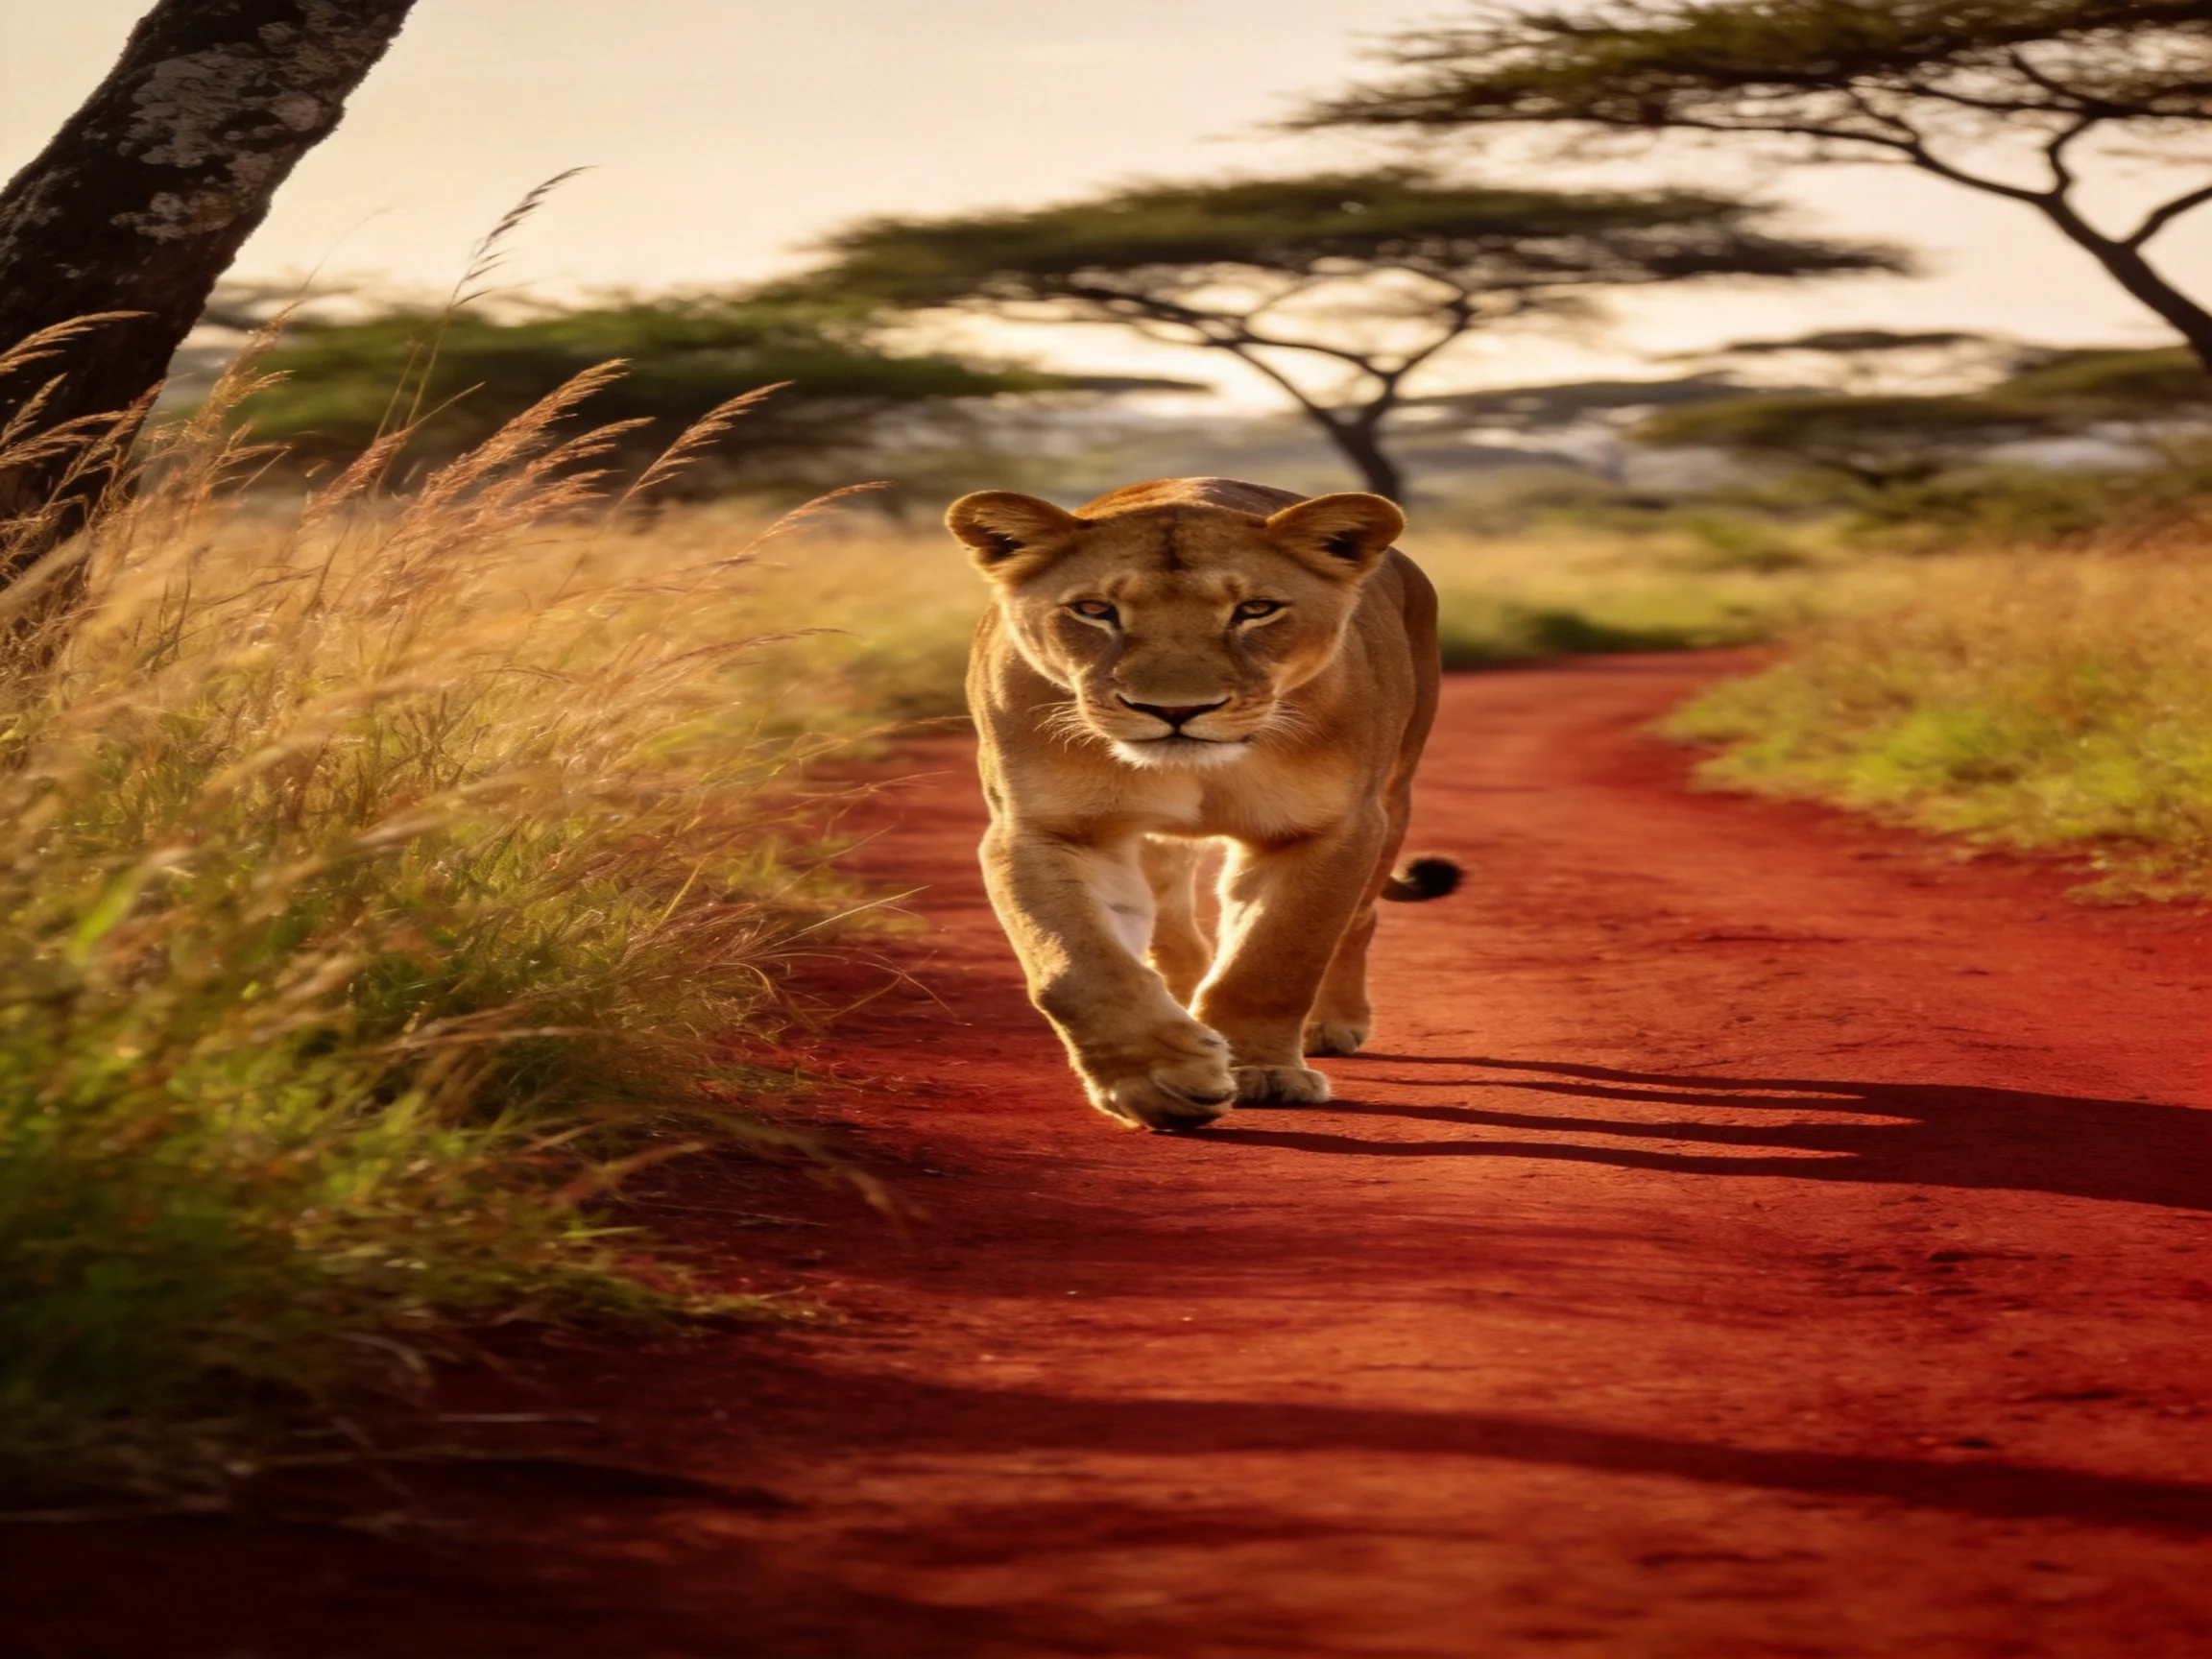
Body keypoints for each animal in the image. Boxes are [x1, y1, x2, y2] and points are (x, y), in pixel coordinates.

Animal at [944, 475, 1459, 1132]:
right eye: (1095, 610)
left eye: (1255, 610)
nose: (1176, 710)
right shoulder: (1045, 828)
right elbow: (1075, 967)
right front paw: (1159, 1078)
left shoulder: (1331, 827)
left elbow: (1278, 955)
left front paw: (1263, 1072)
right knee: (1170, 926)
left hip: (1395, 792)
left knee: (1359, 917)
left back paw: (1330, 1023)